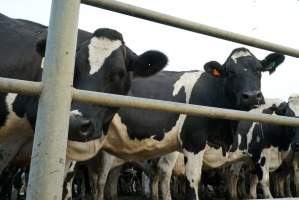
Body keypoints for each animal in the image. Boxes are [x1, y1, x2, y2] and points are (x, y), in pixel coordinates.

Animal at [85, 47, 286, 199]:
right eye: (230, 72)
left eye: (259, 69)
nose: (251, 96)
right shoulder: (194, 142)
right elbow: (193, 181)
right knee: (101, 180)